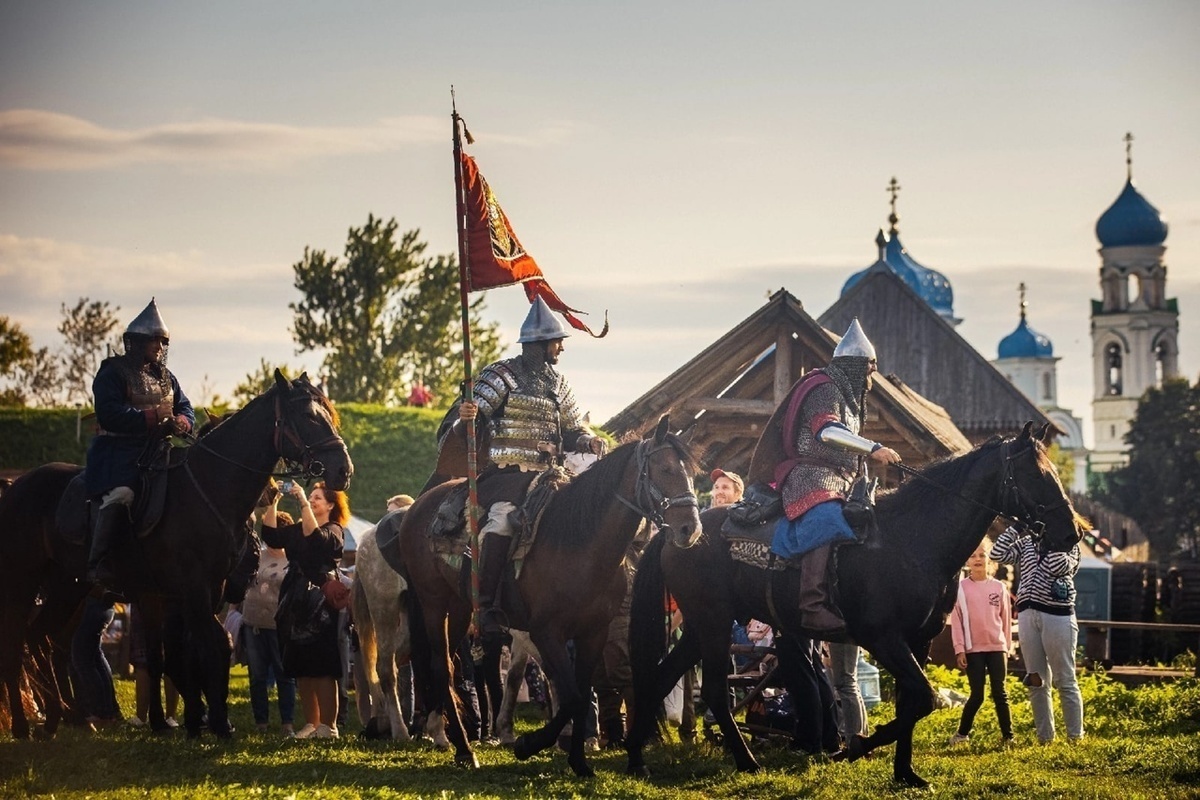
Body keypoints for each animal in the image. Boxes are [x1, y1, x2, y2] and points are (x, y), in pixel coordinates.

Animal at [1, 371, 350, 743]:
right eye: (309, 417)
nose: (343, 470)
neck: (209, 488)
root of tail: (15, 487)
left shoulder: (192, 593)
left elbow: (180, 653)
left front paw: (183, 720)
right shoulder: (188, 591)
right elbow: (206, 647)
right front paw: (214, 722)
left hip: (68, 585)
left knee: (41, 638)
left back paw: (58, 717)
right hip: (22, 583)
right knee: (17, 646)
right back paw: (25, 724)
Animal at [400, 419, 700, 777]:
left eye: (691, 474)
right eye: (666, 469)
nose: (690, 529)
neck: (581, 542)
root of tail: (420, 506)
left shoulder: (592, 633)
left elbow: (579, 694)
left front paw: (577, 761)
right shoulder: (546, 633)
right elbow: (571, 696)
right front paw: (531, 744)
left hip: (458, 605)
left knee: (448, 664)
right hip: (433, 602)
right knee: (442, 667)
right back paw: (463, 748)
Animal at [628, 422, 1089, 791]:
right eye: (1036, 474)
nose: (1073, 533)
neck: (913, 538)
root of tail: (679, 532)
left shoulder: (917, 642)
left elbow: (912, 701)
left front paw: (905, 773)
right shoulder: (883, 638)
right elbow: (924, 699)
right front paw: (855, 746)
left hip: (703, 627)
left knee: (659, 680)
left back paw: (636, 761)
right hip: (714, 624)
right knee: (713, 693)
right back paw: (746, 761)